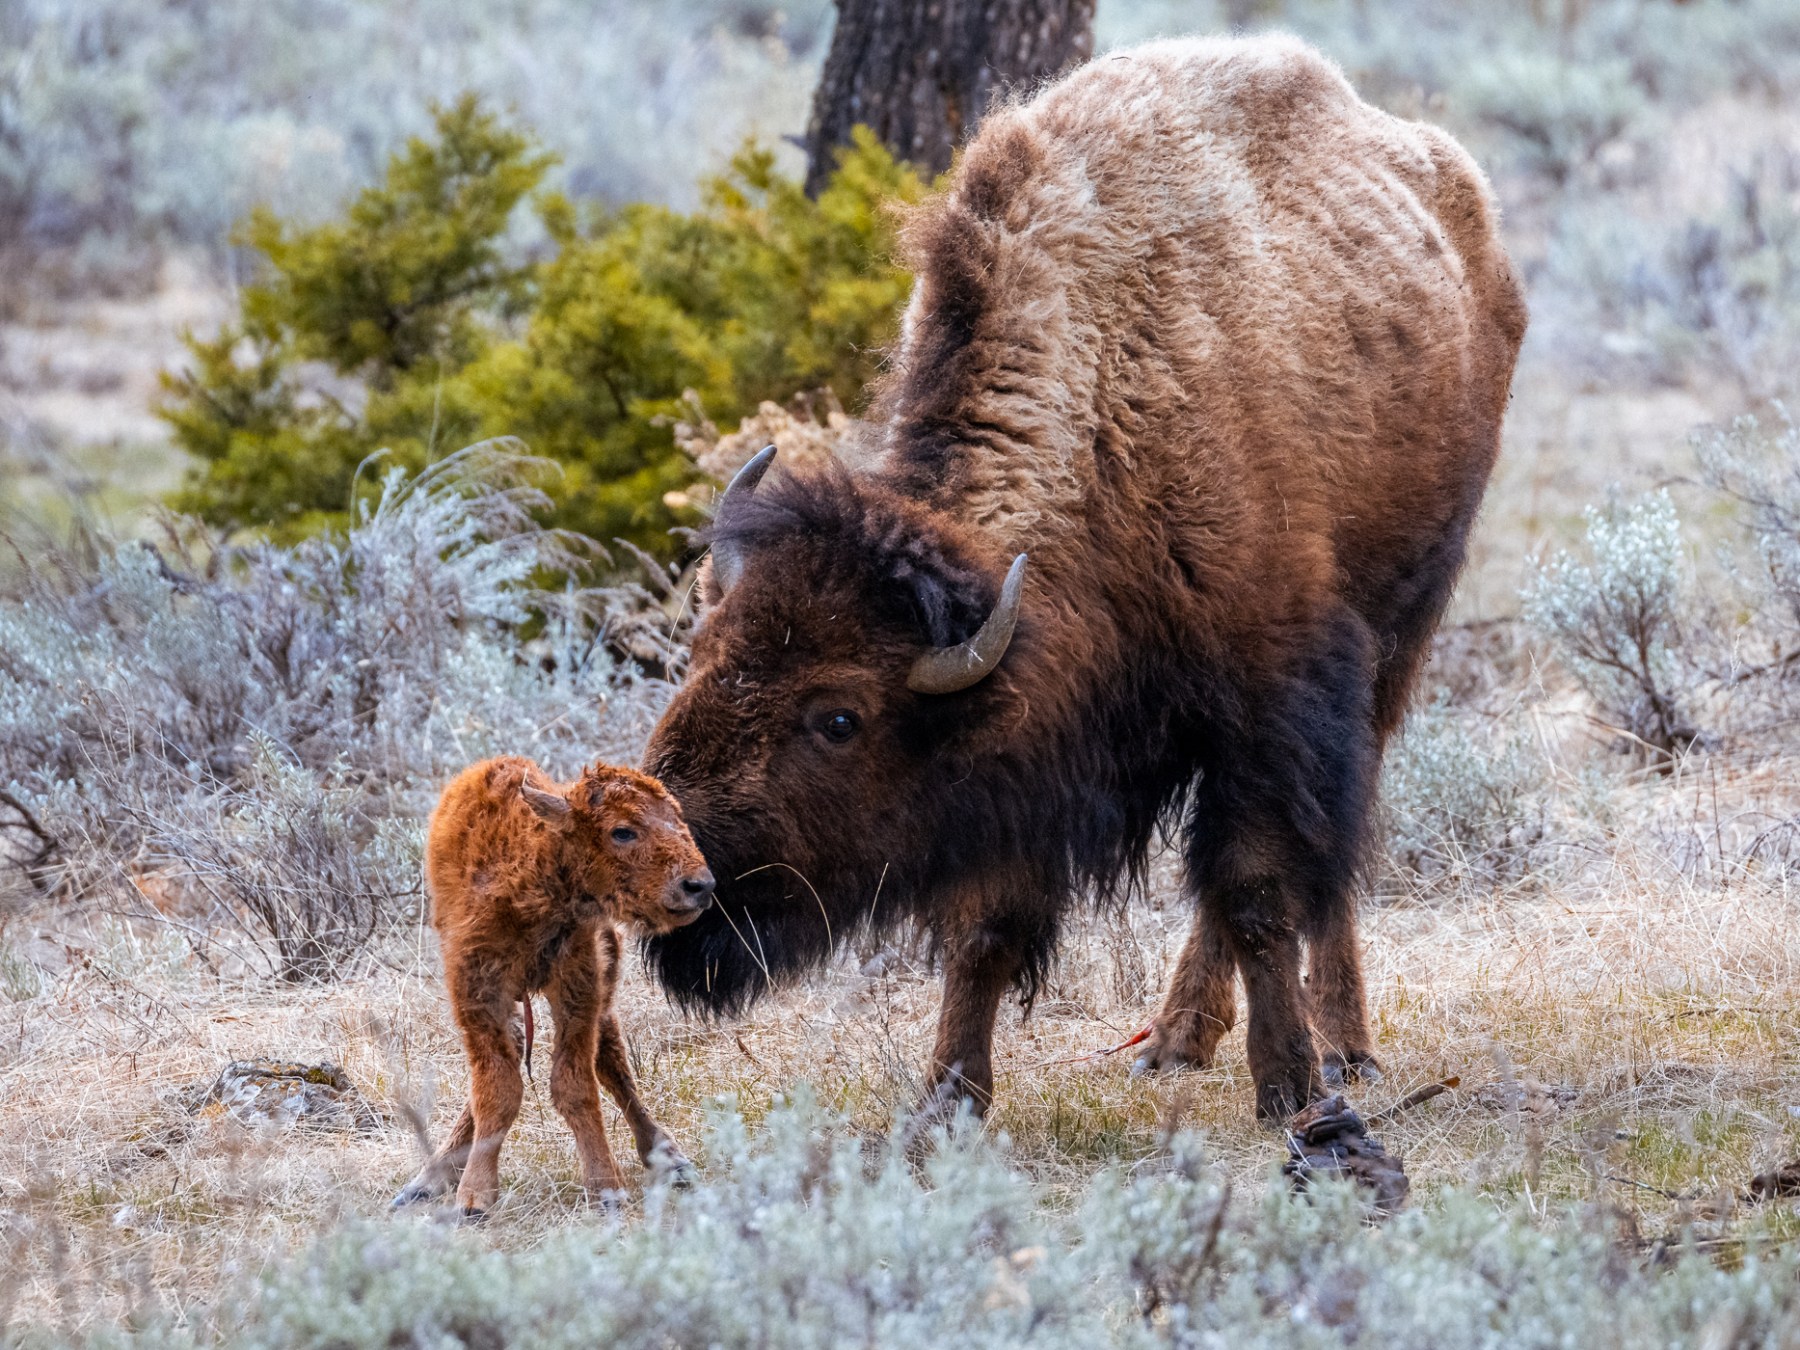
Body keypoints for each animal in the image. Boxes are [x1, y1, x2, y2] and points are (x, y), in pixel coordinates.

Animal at [393, 757, 714, 1216]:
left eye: (677, 819)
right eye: (622, 830)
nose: (699, 886)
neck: (533, 867)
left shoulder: (579, 983)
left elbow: (575, 1084)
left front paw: (606, 1189)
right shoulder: (476, 991)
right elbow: (497, 1089)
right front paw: (474, 1197)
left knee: (612, 1063)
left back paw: (670, 1158)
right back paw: (428, 1179)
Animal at [642, 34, 1526, 1122]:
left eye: (839, 716)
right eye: (697, 655)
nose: (686, 876)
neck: (1117, 397)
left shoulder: (1274, 697)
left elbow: (1260, 891)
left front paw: (1290, 1086)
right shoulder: (1025, 752)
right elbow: (985, 929)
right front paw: (946, 1101)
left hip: (1403, 629)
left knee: (1327, 856)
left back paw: (1337, 1045)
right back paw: (1176, 1044)